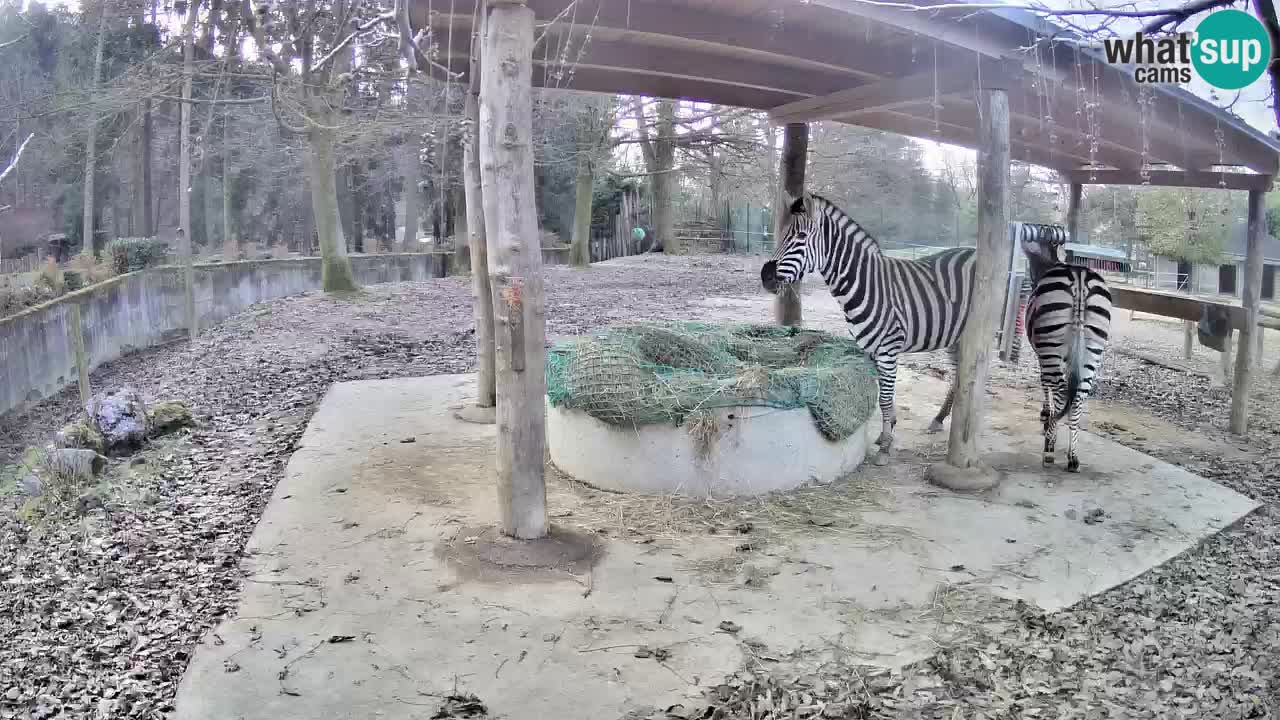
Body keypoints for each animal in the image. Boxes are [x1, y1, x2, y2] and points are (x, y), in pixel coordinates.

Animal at [757, 193, 977, 461]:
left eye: (800, 236)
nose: (765, 276)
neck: (865, 284)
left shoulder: (888, 348)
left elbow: (884, 398)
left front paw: (885, 445)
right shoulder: (870, 348)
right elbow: (883, 394)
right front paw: (887, 431)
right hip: (958, 336)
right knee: (959, 377)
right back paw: (938, 419)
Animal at [1018, 225, 1111, 471]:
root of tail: (1079, 277)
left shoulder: (1042, 354)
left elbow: (1045, 383)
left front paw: (1046, 415)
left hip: (1051, 346)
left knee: (1061, 389)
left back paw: (1049, 448)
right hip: (1093, 348)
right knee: (1078, 396)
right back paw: (1072, 456)